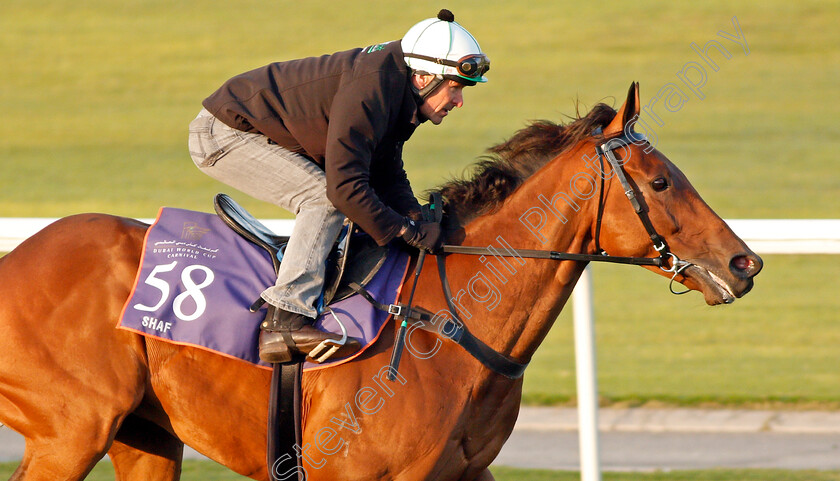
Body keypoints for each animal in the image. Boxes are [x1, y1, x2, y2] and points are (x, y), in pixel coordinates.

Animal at [0, 84, 760, 478]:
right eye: (661, 182)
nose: (745, 263)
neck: (451, 324)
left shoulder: (466, 470)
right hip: (72, 429)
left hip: (144, 435)